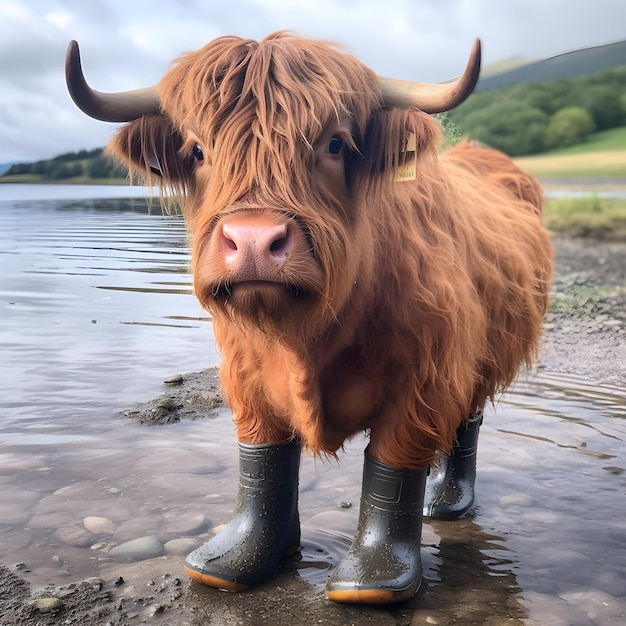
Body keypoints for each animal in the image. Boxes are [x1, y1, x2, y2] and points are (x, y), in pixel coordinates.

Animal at [64, 31, 552, 604]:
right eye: (198, 149)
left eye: (335, 144)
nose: (253, 242)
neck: (307, 333)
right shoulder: (245, 377)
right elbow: (264, 465)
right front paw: (239, 558)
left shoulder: (426, 380)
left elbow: (392, 470)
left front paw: (375, 578)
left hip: (482, 356)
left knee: (467, 424)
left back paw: (449, 498)